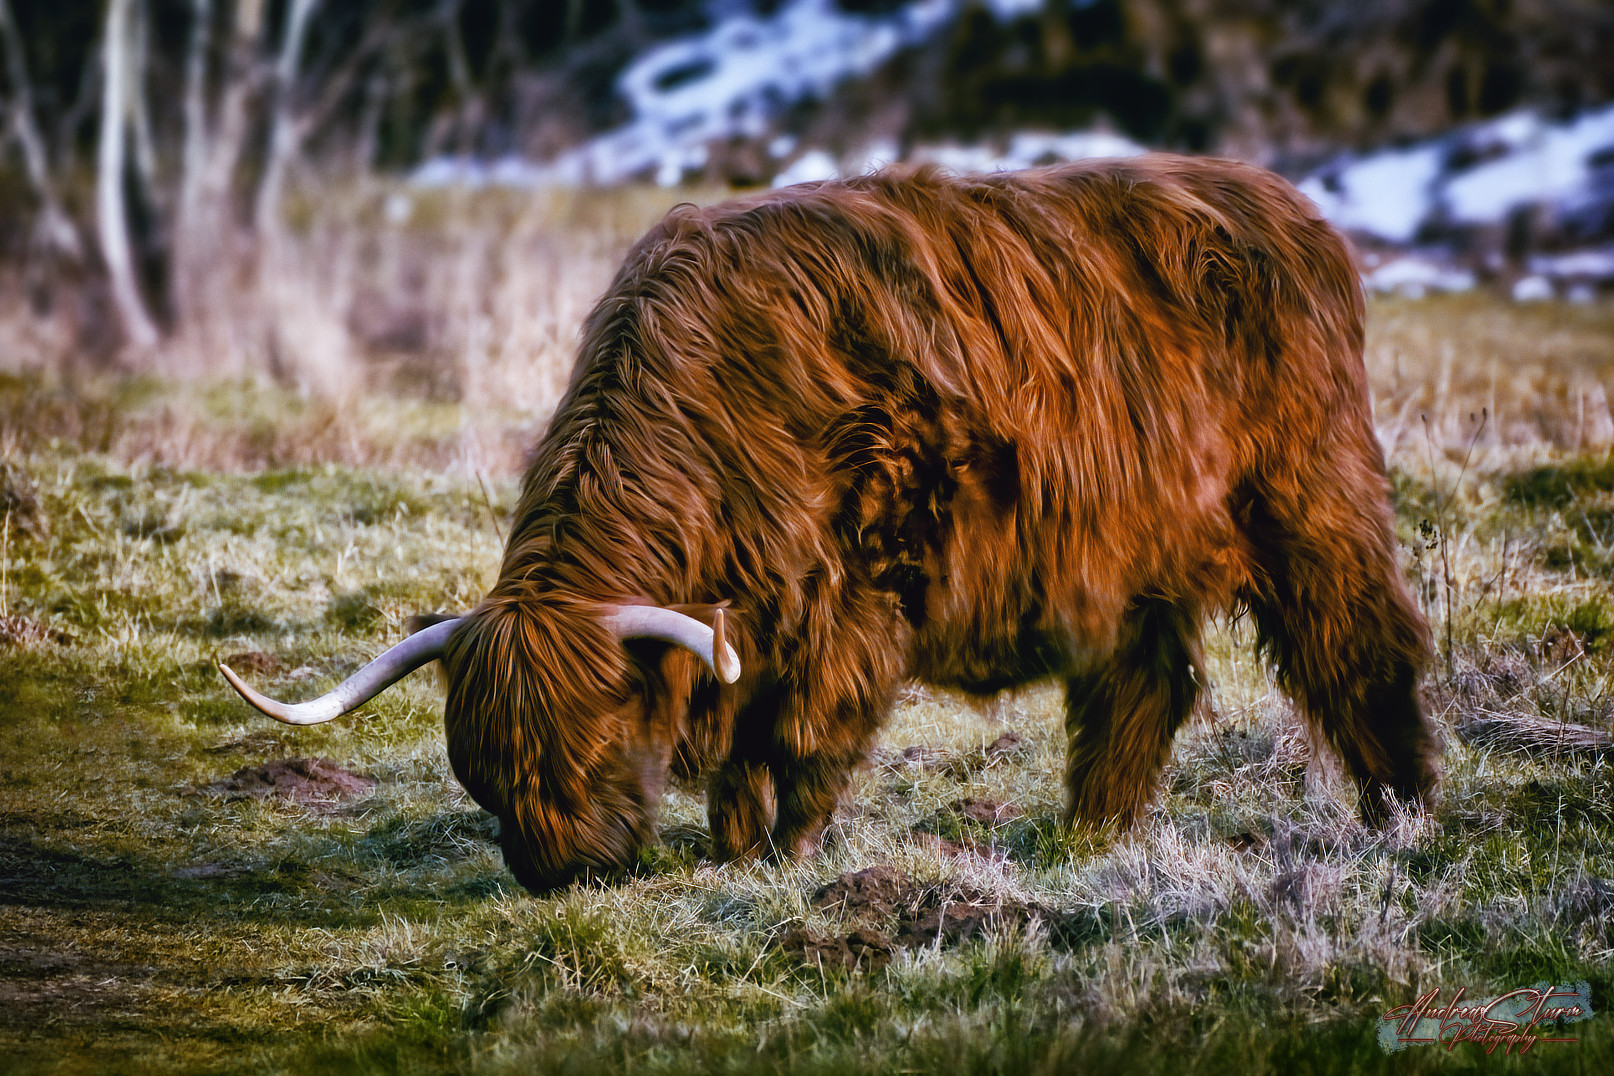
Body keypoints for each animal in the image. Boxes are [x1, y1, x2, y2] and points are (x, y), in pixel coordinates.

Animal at [224, 151, 1439, 890]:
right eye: (483, 774)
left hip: (1309, 495)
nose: (559, 871)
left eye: (592, 745)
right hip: (1135, 557)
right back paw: (1088, 836)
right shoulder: (748, 631)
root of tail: (1286, 206)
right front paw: (730, 851)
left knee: (1359, 644)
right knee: (1141, 684)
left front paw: (783, 859)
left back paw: (1404, 812)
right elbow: (734, 759)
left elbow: (803, 743)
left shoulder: (851, 598)